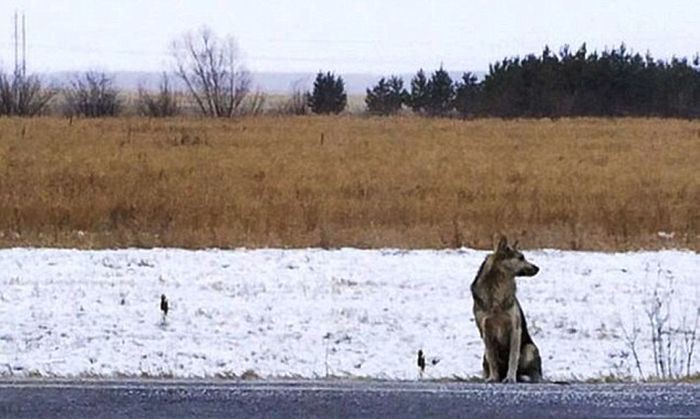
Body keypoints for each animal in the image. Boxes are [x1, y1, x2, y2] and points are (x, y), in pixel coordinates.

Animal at [470, 236, 540, 384]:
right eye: (521, 257)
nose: (538, 268)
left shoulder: (515, 329)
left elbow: (513, 358)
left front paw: (510, 378)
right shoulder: (485, 331)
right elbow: (492, 359)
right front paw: (493, 377)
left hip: (529, 349)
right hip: (484, 355)